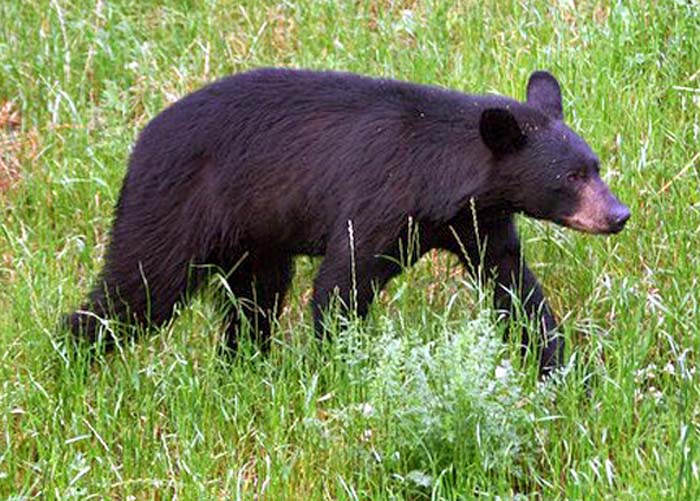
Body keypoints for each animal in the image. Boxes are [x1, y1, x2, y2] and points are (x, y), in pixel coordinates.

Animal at [68, 68, 632, 374]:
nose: (618, 215)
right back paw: (69, 362)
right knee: (139, 289)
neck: (441, 179)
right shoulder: (378, 200)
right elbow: (341, 284)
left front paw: (559, 369)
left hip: (257, 237)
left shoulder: (479, 224)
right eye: (571, 176)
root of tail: (139, 143)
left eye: (596, 166)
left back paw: (242, 367)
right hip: (175, 209)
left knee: (254, 301)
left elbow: (515, 288)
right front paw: (340, 371)